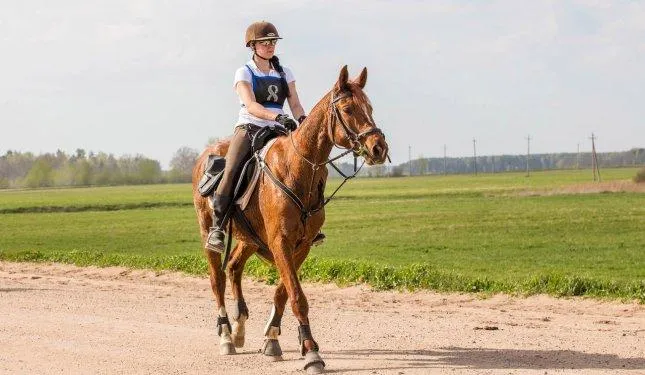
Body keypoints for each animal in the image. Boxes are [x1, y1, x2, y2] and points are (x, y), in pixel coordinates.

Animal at [189, 66, 384, 374]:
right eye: (348, 108)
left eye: (370, 108)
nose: (379, 148)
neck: (298, 167)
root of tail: (205, 156)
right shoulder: (280, 241)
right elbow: (297, 297)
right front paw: (312, 353)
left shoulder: (299, 245)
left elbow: (283, 291)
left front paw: (272, 339)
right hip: (208, 229)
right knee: (216, 278)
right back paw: (226, 336)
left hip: (249, 238)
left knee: (233, 267)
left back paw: (240, 329)